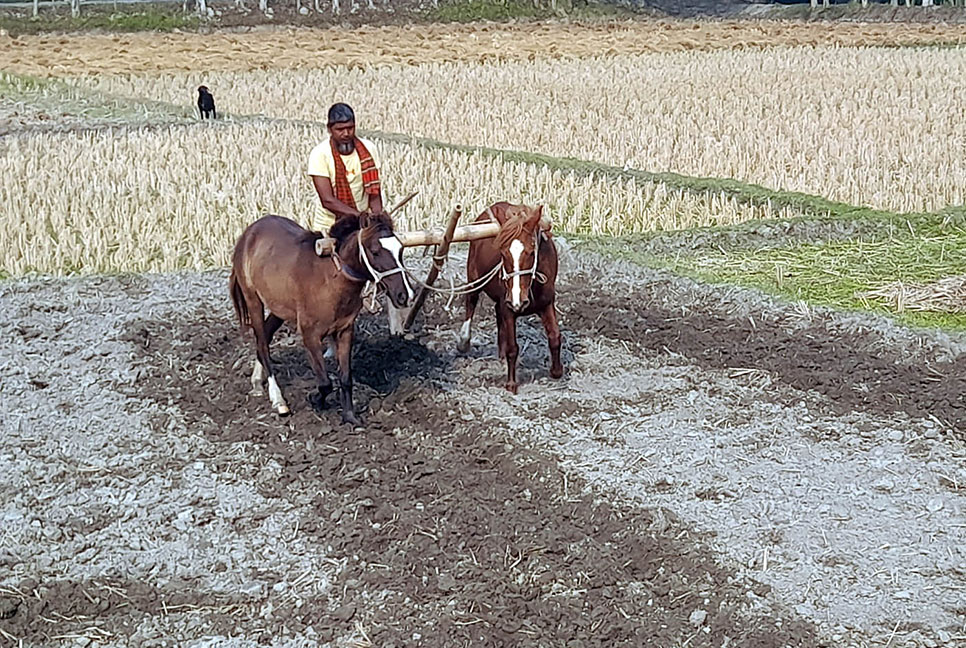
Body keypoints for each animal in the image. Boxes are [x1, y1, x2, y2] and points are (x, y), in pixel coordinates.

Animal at [230, 211, 412, 426]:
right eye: (375, 251)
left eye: (400, 250)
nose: (405, 295)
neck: (330, 280)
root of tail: (249, 232)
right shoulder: (310, 334)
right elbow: (325, 383)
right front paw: (315, 400)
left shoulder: (345, 330)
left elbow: (345, 377)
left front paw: (350, 416)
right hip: (253, 300)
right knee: (262, 343)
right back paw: (278, 399)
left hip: (279, 306)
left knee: (264, 336)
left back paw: (257, 382)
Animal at [458, 202, 564, 392]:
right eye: (503, 253)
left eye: (531, 252)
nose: (517, 301)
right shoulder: (509, 308)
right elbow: (513, 347)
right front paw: (511, 383)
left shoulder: (547, 303)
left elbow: (554, 336)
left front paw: (556, 371)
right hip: (474, 277)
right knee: (471, 301)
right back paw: (464, 341)